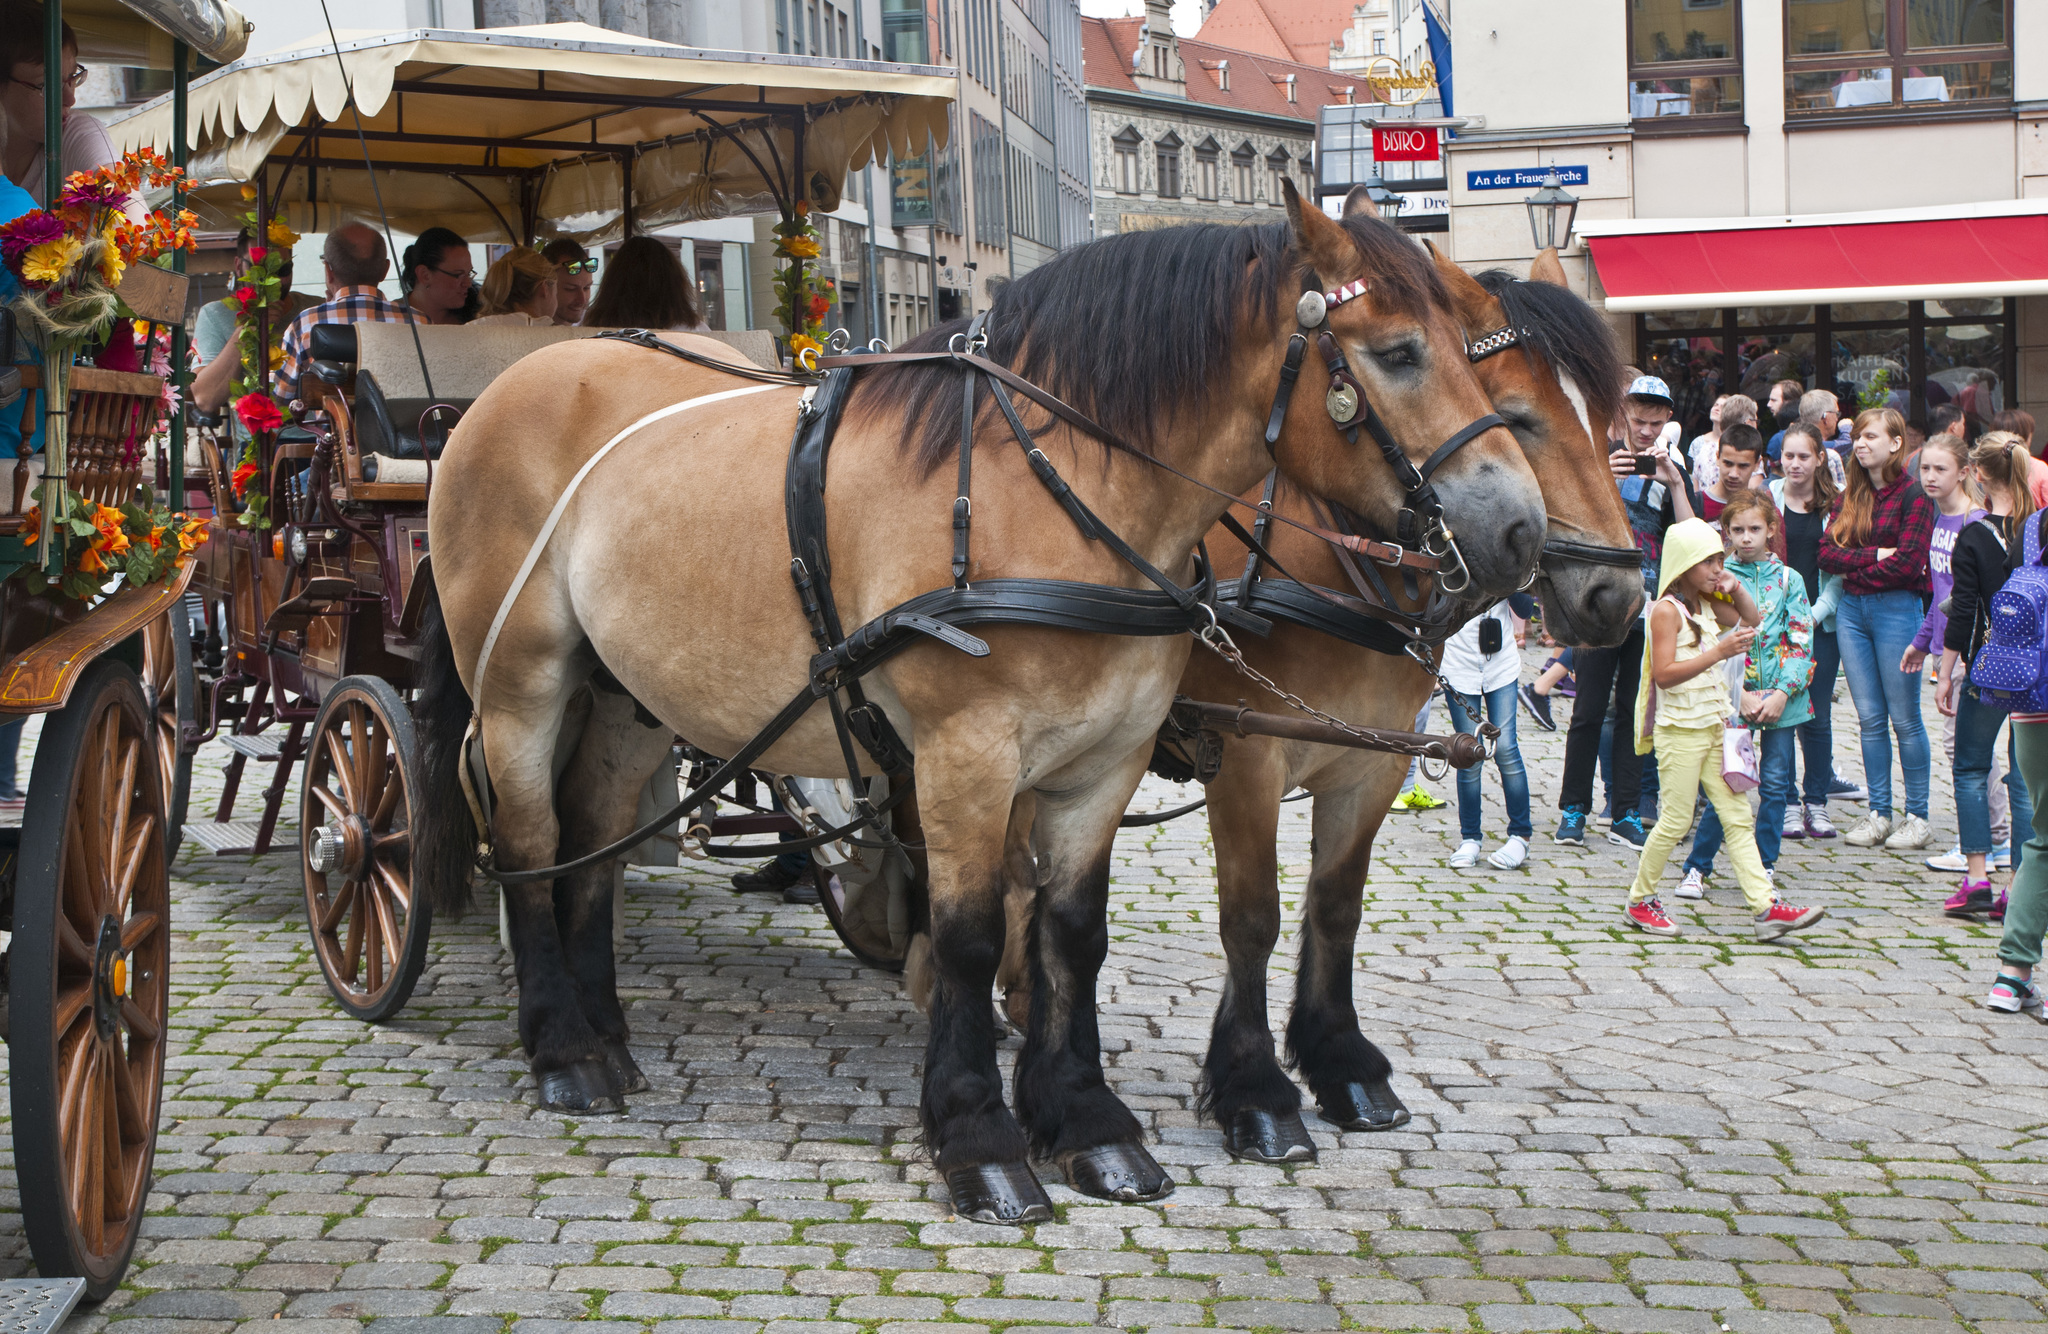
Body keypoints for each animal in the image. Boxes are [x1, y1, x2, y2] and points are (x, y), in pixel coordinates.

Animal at [407, 187, 1540, 1221]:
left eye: (1471, 353)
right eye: (1398, 351)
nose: (1521, 530)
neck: (1042, 492)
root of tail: (517, 379)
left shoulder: (1104, 759)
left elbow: (1071, 931)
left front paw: (1086, 1121)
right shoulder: (966, 758)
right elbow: (967, 936)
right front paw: (979, 1137)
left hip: (628, 697)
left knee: (593, 840)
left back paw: (604, 1028)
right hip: (520, 684)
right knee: (528, 839)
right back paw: (561, 1046)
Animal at [995, 244, 1646, 1163]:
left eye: (1609, 423)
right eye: (1518, 419)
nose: (1618, 595)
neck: (1332, 557)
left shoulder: (1370, 760)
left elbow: (1336, 905)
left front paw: (1341, 1061)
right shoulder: (1244, 755)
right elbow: (1253, 918)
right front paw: (1255, 1088)